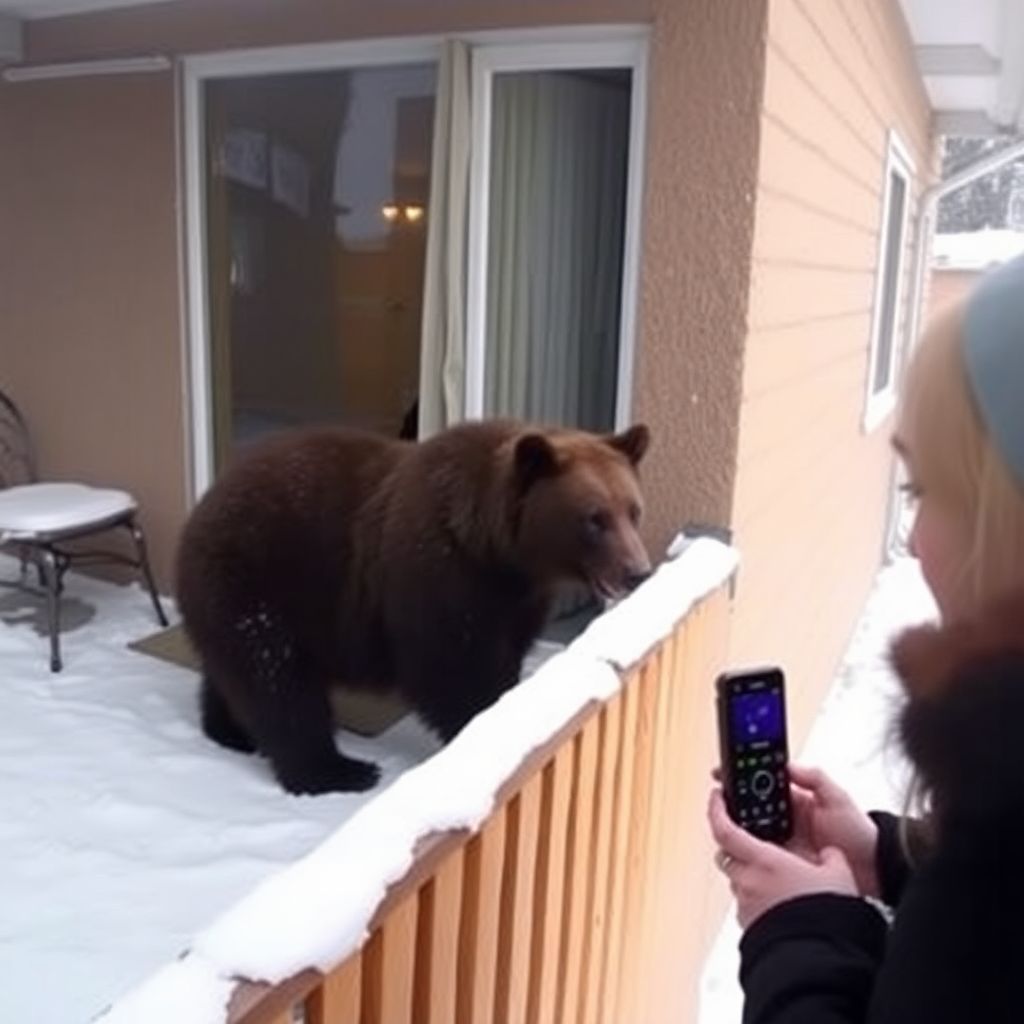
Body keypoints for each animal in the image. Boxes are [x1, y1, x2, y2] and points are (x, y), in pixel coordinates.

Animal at [175, 418, 651, 795]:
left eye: (633, 510)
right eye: (594, 518)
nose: (638, 572)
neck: (499, 554)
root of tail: (206, 502)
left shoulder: (516, 603)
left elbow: (503, 662)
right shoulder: (438, 577)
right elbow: (453, 672)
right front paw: (481, 739)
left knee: (240, 668)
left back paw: (230, 731)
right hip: (260, 575)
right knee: (279, 680)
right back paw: (338, 771)